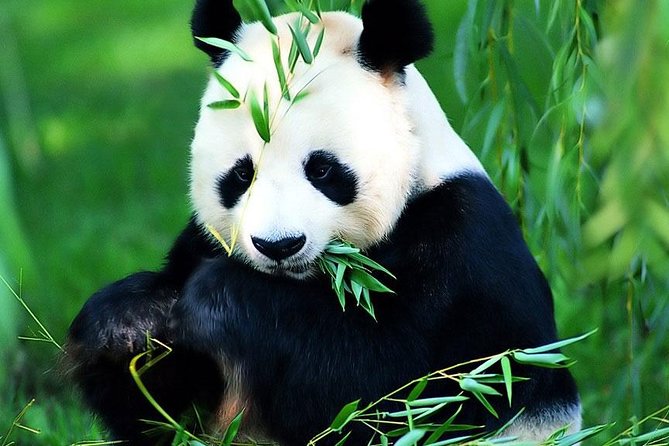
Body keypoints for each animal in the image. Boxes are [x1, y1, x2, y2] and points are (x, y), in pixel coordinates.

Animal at [67, 0, 581, 444]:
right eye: (242, 174)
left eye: (322, 170)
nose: (279, 245)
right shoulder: (203, 241)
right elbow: (169, 412)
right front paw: (130, 321)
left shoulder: (465, 251)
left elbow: (390, 389)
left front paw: (219, 298)